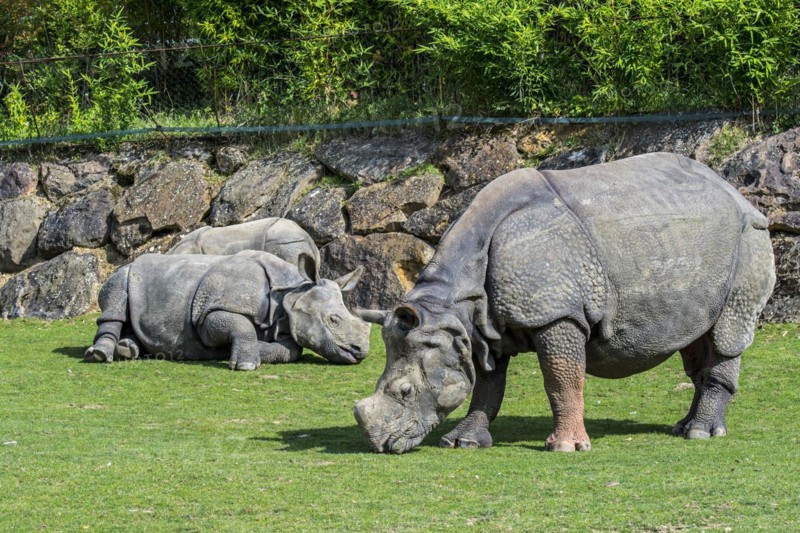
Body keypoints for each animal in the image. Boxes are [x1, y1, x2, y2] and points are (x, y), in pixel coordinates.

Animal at [84, 250, 370, 369]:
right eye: (333, 320)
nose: (361, 352)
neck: (291, 292)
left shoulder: (285, 325)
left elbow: (291, 351)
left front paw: (255, 351)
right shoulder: (209, 312)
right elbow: (239, 327)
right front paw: (245, 363)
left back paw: (128, 349)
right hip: (124, 272)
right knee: (116, 297)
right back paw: (100, 355)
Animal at [354, 153, 775, 454]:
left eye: (405, 392)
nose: (380, 446)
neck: (452, 307)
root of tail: (738, 194)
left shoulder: (557, 316)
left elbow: (561, 379)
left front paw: (567, 448)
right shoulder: (483, 327)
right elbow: (487, 386)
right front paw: (464, 443)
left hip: (749, 237)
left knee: (726, 333)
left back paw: (702, 434)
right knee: (695, 336)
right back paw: (685, 428)